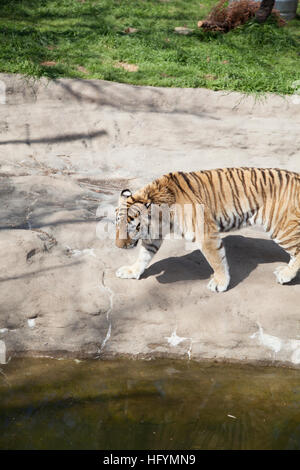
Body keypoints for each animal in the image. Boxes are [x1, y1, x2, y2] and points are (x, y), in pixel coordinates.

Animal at [115, 169, 300, 292]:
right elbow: (144, 256)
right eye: (117, 226)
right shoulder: (154, 235)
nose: (118, 246)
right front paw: (131, 271)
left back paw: (286, 275)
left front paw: (220, 283)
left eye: (132, 228)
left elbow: (216, 260)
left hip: (282, 227)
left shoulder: (206, 233)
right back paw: (283, 270)